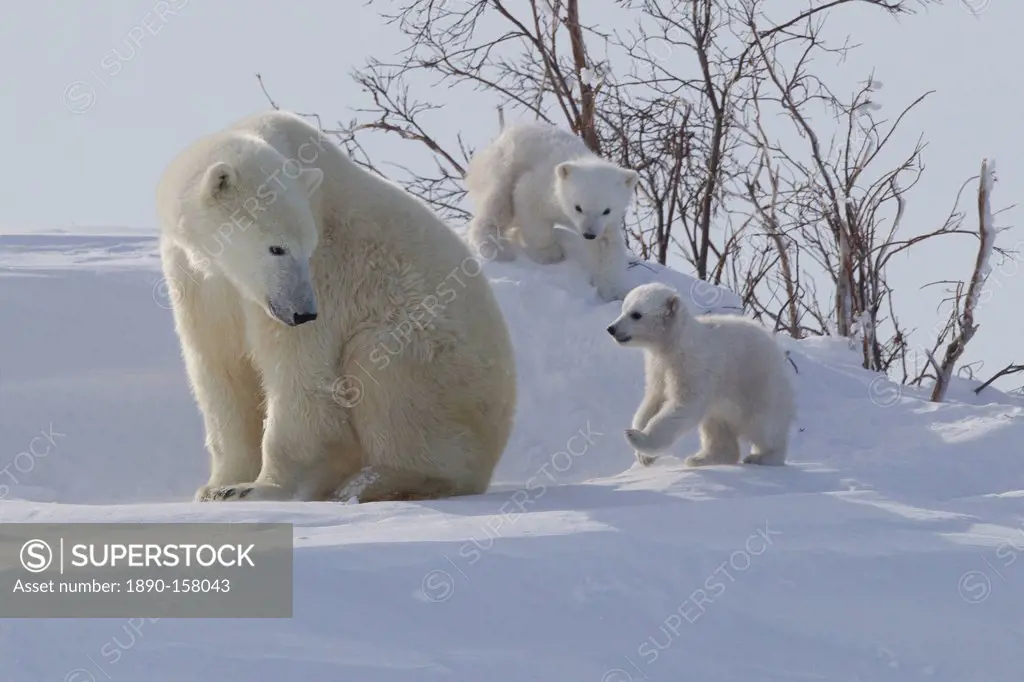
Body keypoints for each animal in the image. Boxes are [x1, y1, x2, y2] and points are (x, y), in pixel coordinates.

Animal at [156, 111, 516, 501]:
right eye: (276, 248)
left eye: (307, 248)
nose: (303, 312)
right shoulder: (200, 282)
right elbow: (220, 369)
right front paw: (218, 486)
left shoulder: (327, 276)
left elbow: (301, 375)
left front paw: (260, 488)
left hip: (449, 372)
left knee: (384, 368)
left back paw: (373, 481)